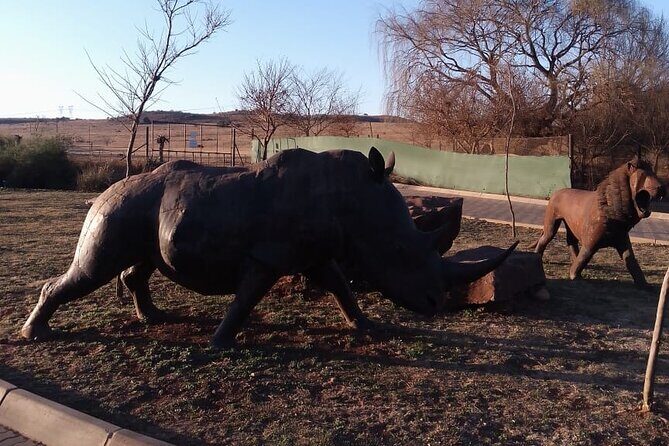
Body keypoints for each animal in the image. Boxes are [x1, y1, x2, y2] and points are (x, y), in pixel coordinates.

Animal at [22, 148, 516, 347]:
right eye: (399, 250)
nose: (436, 304)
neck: (353, 198)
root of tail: (103, 190)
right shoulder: (268, 256)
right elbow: (245, 300)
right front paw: (220, 343)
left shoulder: (318, 254)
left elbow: (343, 289)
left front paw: (366, 327)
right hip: (117, 209)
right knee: (95, 270)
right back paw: (35, 335)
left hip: (141, 210)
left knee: (140, 265)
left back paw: (154, 318)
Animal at [532, 156, 665, 287]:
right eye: (644, 174)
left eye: (653, 172)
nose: (662, 188)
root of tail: (556, 192)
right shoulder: (590, 244)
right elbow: (583, 258)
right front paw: (575, 277)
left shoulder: (622, 241)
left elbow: (632, 262)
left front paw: (644, 285)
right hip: (551, 224)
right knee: (545, 239)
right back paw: (537, 257)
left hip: (571, 225)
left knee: (571, 242)